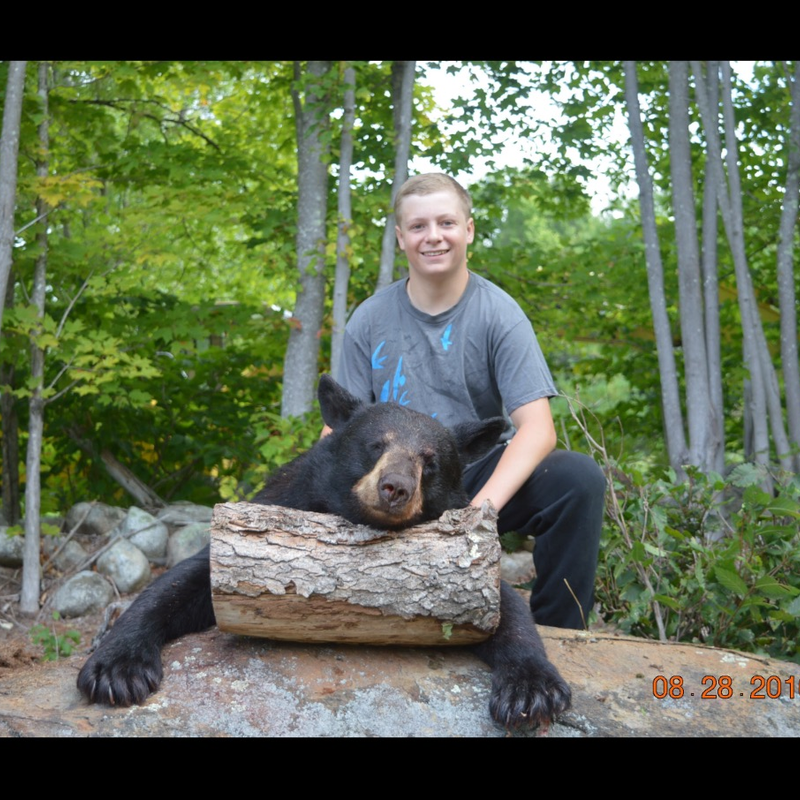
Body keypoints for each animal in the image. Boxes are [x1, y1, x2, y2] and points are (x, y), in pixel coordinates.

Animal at [77, 374, 571, 729]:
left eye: (430, 461)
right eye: (376, 444)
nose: (395, 487)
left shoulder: (469, 560)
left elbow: (506, 607)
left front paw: (532, 690)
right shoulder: (274, 508)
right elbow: (184, 580)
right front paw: (116, 669)